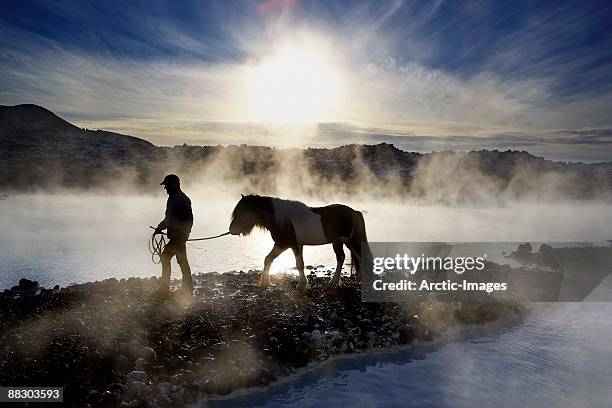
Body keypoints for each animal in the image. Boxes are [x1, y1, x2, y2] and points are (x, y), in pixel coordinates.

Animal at [230, 195, 372, 288]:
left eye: (242, 212)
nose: (231, 230)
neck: (283, 220)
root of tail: (355, 212)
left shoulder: (294, 245)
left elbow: (299, 264)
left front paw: (301, 284)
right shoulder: (281, 244)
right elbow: (268, 259)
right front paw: (265, 282)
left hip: (349, 241)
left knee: (354, 257)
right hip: (342, 242)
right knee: (346, 257)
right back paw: (340, 281)